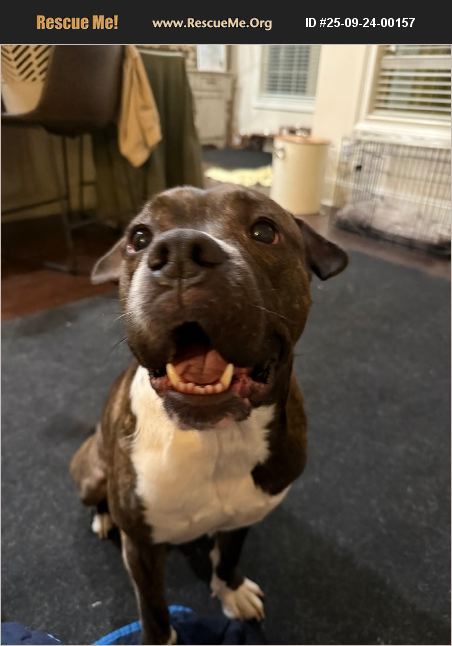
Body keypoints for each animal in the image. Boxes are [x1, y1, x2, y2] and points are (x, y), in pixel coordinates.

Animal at [70, 184, 348, 644]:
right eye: (139, 238)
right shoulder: (142, 548)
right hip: (92, 473)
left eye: (264, 230)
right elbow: (154, 610)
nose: (180, 252)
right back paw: (104, 518)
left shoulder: (242, 519)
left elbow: (228, 557)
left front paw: (230, 591)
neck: (216, 436)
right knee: (97, 498)